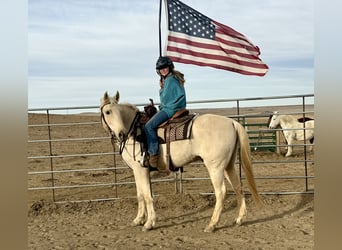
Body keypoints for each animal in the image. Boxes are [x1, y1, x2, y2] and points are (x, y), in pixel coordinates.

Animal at [100, 91, 264, 232]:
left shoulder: (141, 169)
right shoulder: (136, 170)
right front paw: (138, 219)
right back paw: (239, 219)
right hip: (228, 165)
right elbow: (140, 194)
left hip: (215, 167)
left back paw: (212, 224)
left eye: (117, 112)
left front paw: (149, 223)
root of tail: (231, 122)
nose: (121, 134)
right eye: (108, 112)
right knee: (238, 187)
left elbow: (147, 195)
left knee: (221, 192)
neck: (134, 131)